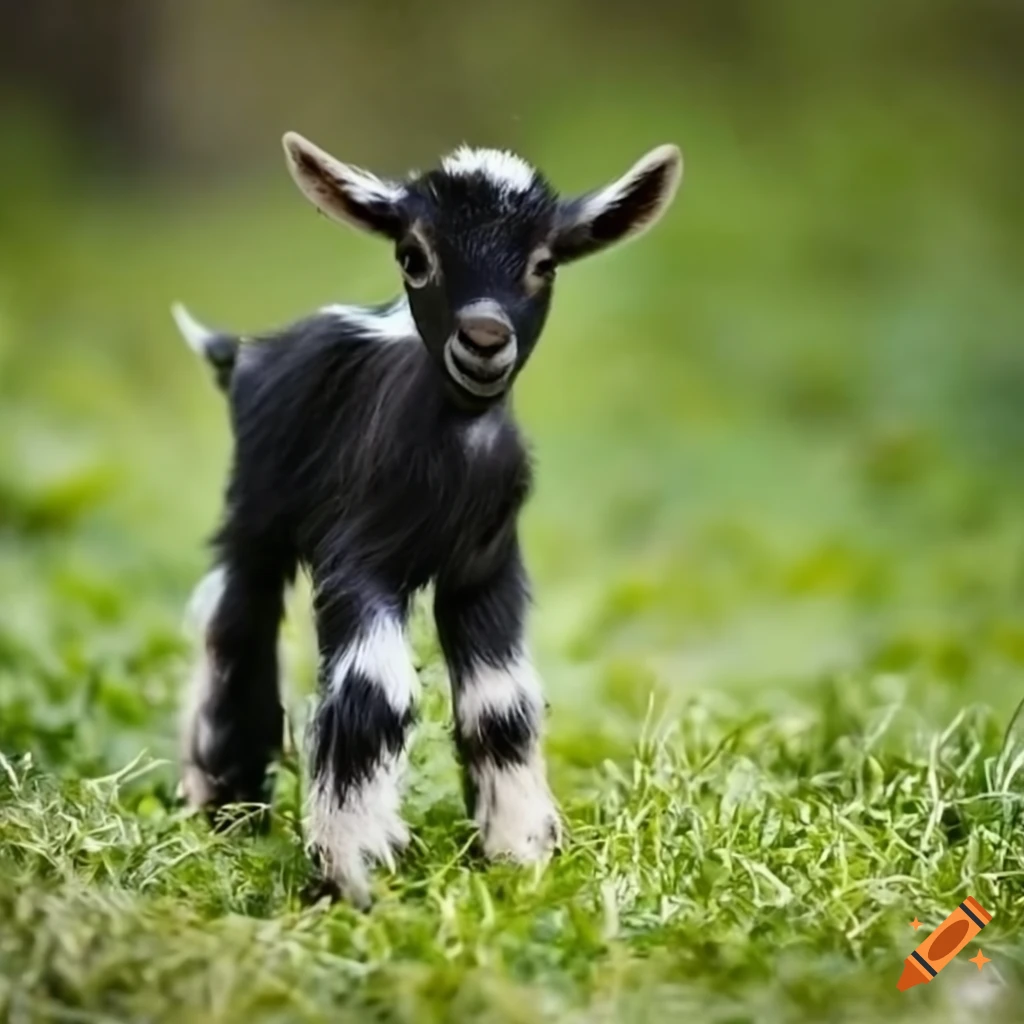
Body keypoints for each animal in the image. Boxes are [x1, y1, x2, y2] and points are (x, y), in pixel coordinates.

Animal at [173, 133, 683, 904]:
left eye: (544, 264)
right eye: (414, 256)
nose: (484, 339)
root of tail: (249, 350)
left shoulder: (488, 569)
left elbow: (500, 704)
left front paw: (520, 851)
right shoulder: (356, 558)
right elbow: (371, 692)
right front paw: (352, 868)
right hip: (254, 507)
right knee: (236, 614)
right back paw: (222, 800)